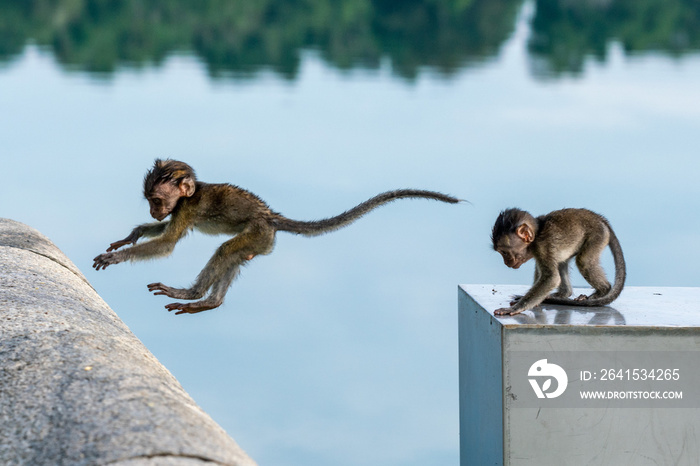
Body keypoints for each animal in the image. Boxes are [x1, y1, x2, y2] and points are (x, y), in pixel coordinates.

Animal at [94, 158, 464, 314]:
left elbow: (169, 242)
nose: (153, 212)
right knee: (233, 255)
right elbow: (161, 234)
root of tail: (272, 217)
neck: (189, 194)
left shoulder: (185, 208)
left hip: (258, 233)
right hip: (261, 240)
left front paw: (116, 256)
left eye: (156, 200)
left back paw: (192, 295)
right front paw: (130, 237)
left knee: (226, 250)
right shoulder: (178, 211)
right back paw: (209, 303)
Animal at [490, 208, 628, 314]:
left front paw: (516, 308)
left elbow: (552, 278)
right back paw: (563, 294)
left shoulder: (542, 247)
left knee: (583, 261)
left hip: (598, 235)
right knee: (562, 262)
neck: (537, 235)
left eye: (504, 252)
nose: (506, 262)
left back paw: (602, 291)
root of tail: (600, 218)